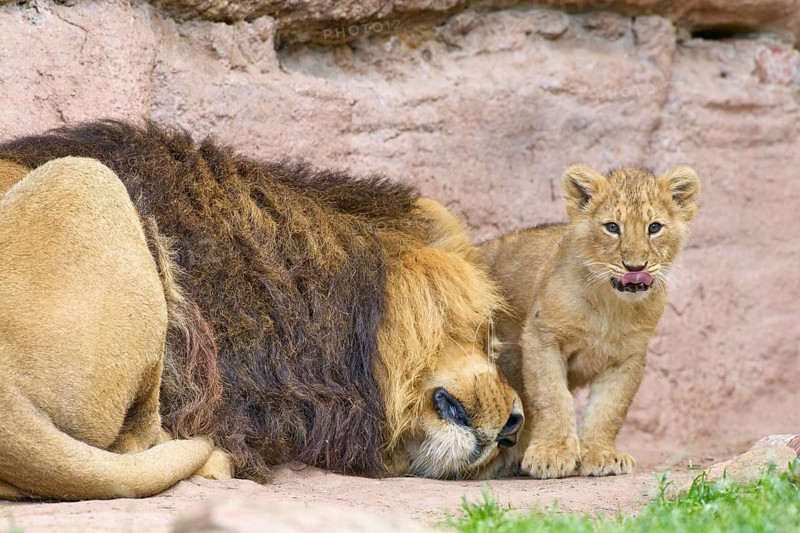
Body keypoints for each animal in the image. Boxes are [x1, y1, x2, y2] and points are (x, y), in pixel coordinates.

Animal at [482, 164, 700, 479]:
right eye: (612, 227)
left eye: (654, 227)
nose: (635, 267)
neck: (612, 307)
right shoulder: (542, 338)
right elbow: (551, 397)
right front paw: (552, 454)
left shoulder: (628, 357)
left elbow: (609, 409)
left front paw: (602, 455)